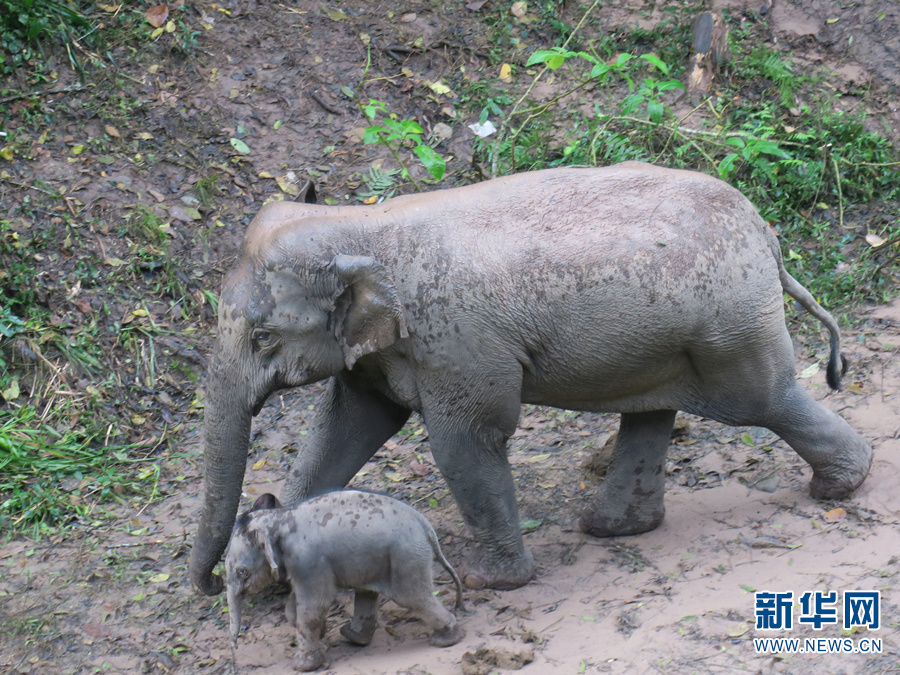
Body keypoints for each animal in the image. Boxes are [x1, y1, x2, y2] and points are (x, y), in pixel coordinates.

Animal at [190, 161, 872, 596]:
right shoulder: (380, 352)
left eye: (263, 338)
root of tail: (767, 237)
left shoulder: (455, 341)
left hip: (728, 325)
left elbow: (466, 442)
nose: (208, 586)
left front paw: (492, 583)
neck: (360, 224)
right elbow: (345, 429)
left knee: (764, 399)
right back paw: (613, 529)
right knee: (652, 412)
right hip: (665, 339)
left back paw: (844, 484)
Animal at [224, 492, 464, 672]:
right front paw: (321, 635)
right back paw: (354, 637)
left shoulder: (309, 561)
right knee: (367, 592)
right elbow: (294, 607)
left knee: (413, 598)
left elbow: (315, 605)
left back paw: (446, 639)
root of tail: (424, 524)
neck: (280, 517)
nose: (235, 645)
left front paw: (302, 666)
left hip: (405, 557)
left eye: (242, 572)